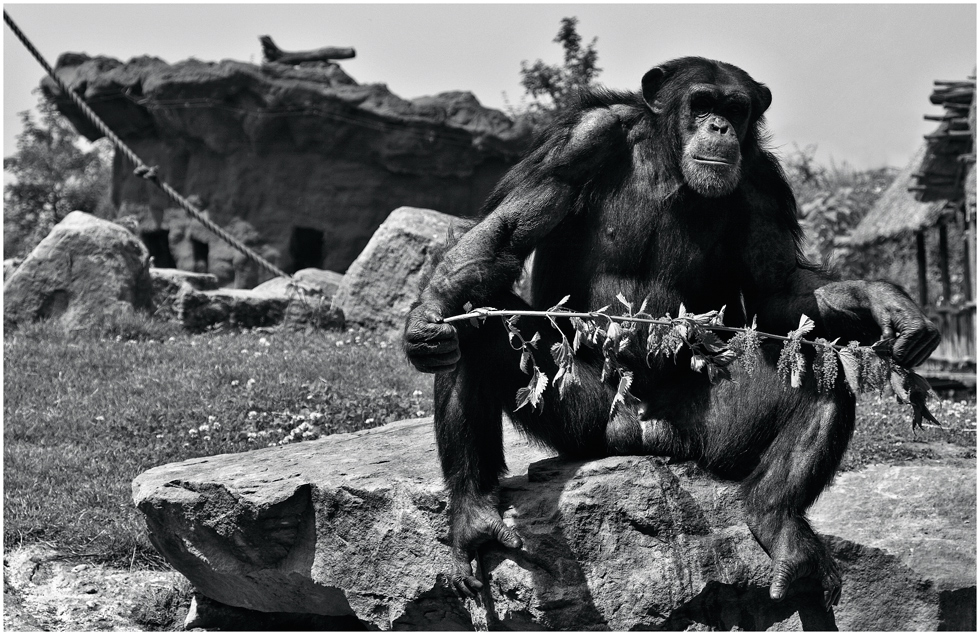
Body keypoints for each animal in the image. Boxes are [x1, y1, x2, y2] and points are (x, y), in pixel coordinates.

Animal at [402, 58, 936, 612]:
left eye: (734, 108)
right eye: (702, 103)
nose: (719, 127)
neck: (669, 163)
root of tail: (647, 438)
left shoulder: (762, 182)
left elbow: (780, 288)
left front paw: (884, 300)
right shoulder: (579, 140)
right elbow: (502, 232)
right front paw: (426, 320)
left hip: (711, 435)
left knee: (815, 374)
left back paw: (778, 521)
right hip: (584, 421)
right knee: (475, 326)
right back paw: (473, 516)